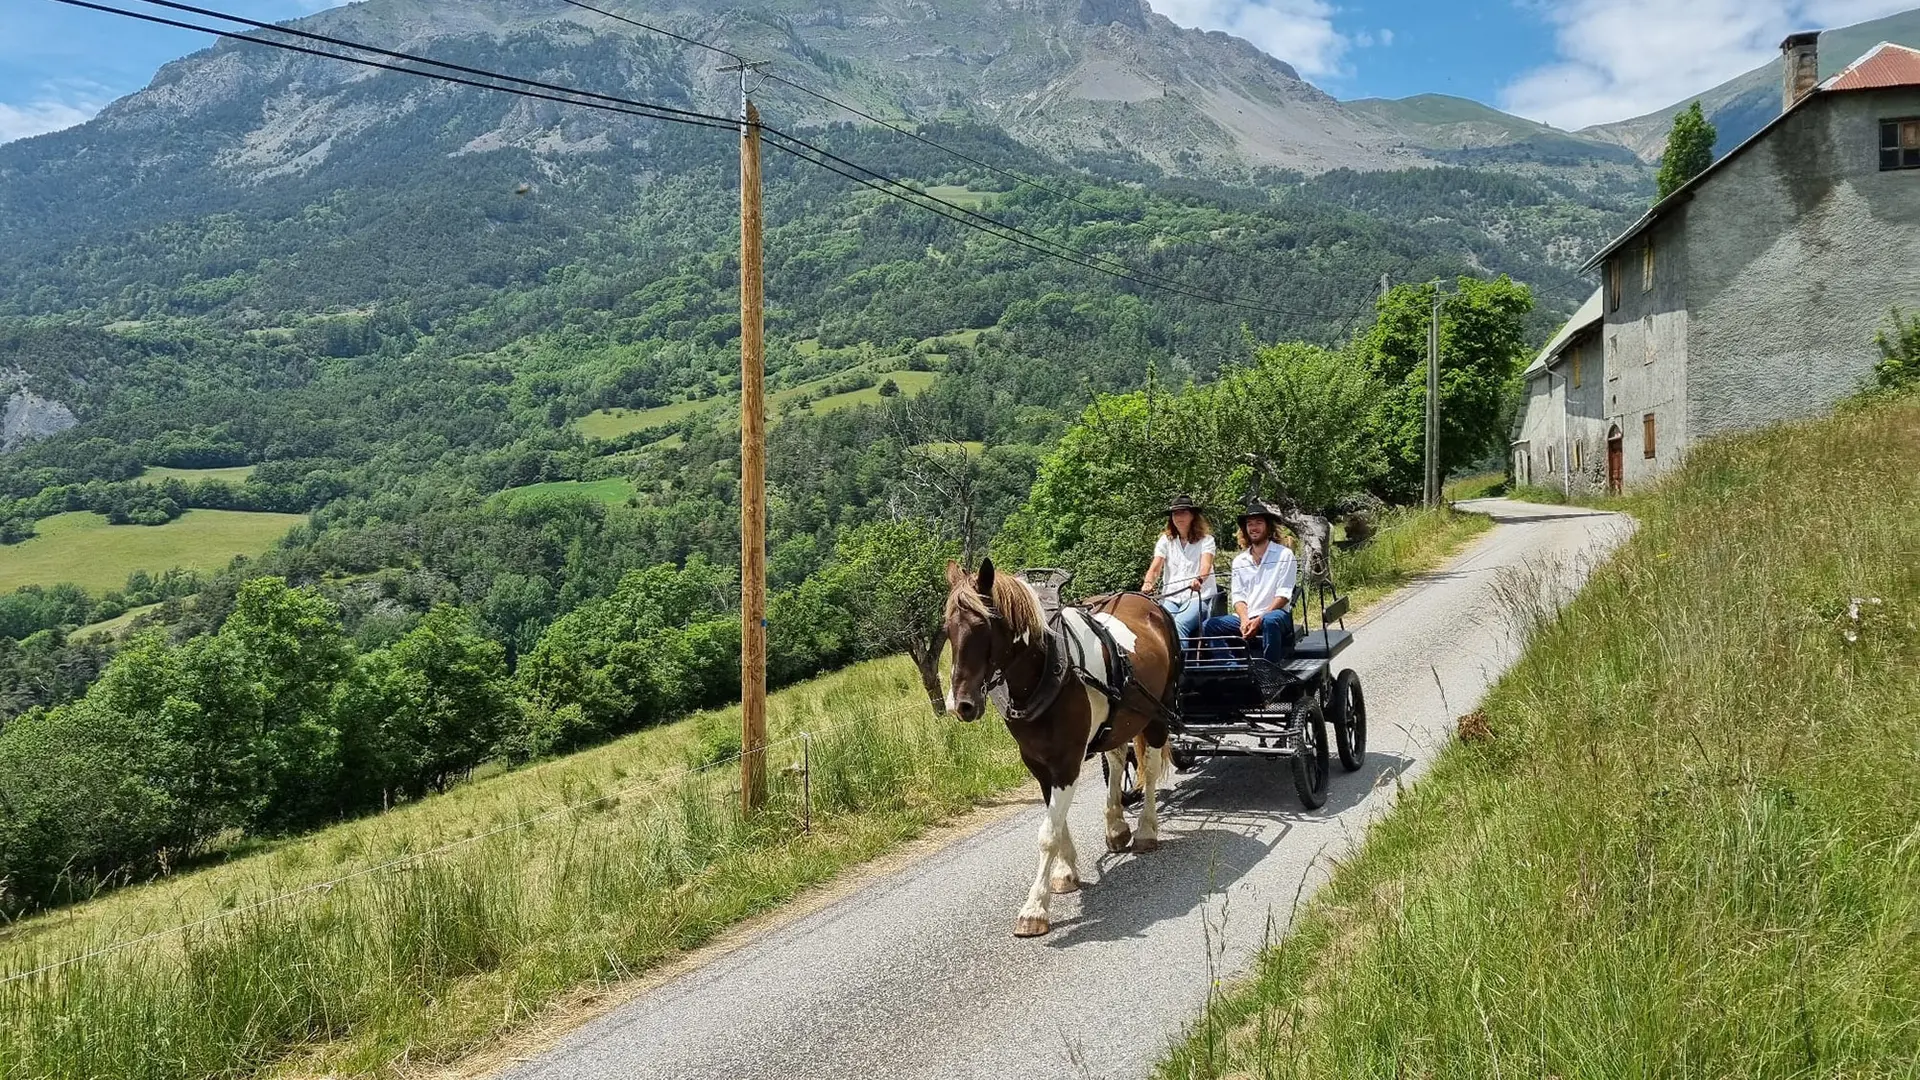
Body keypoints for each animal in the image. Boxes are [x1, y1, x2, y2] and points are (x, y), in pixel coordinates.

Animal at [944, 553, 1182, 933]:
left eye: (984, 626)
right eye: (947, 629)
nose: (961, 706)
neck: (1048, 669)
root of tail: (1145, 600)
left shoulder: (1067, 762)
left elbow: (1048, 833)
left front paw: (1034, 908)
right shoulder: (1040, 764)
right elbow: (1057, 822)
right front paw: (1066, 871)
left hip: (1159, 710)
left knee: (1151, 763)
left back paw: (1146, 830)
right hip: (1121, 718)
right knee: (1117, 757)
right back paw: (1116, 826)